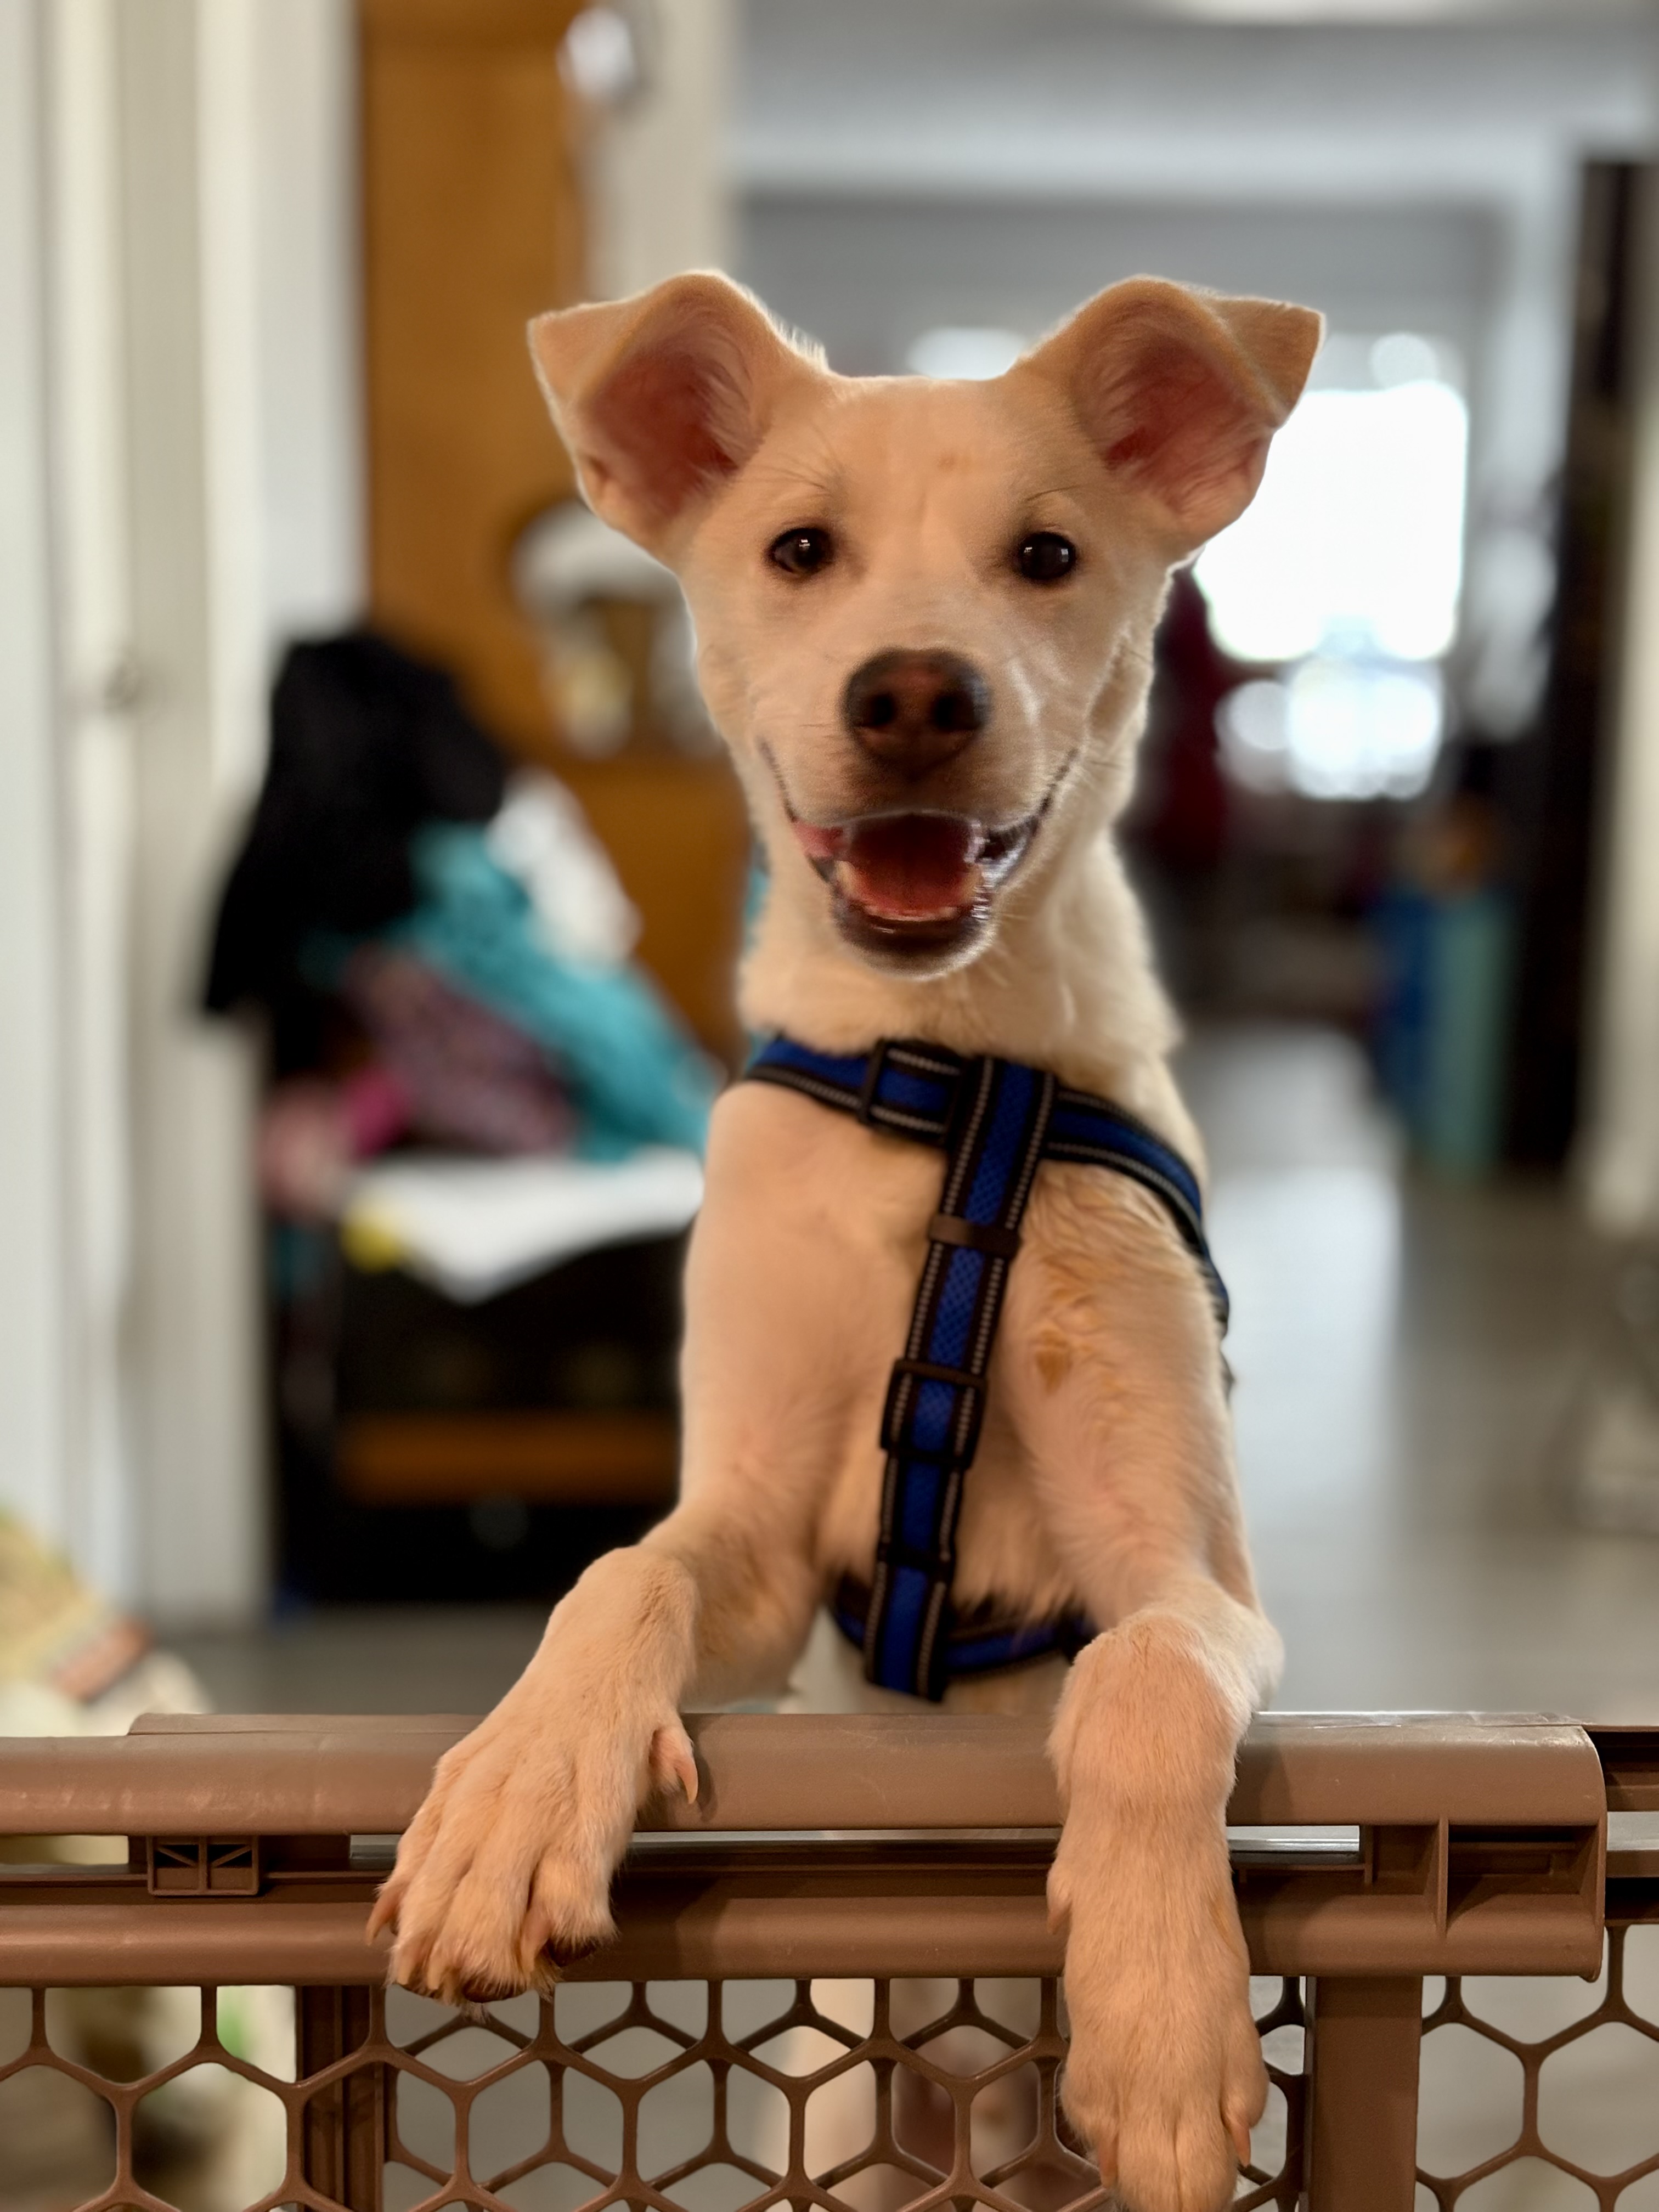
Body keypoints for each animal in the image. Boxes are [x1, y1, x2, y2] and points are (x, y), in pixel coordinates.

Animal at [369, 270, 1322, 2212]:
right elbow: (623, 1574)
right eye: (800, 549)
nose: (914, 696)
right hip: (832, 2111)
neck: (944, 1087)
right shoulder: (757, 1545)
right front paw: (516, 1794)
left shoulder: (1196, 1580)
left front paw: (1162, 2009)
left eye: (1049, 554)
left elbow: (1142, 1679)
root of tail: (967, 2104)